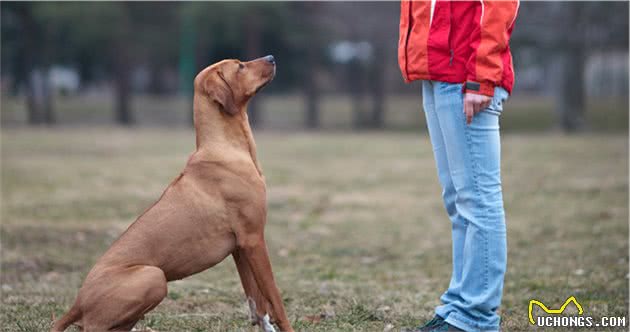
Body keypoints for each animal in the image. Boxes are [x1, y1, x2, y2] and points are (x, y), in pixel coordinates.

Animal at [51, 56, 294, 332]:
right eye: (240, 66)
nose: (272, 58)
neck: (225, 148)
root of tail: (77, 303)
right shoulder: (254, 239)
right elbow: (275, 298)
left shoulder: (240, 247)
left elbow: (257, 300)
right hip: (153, 276)